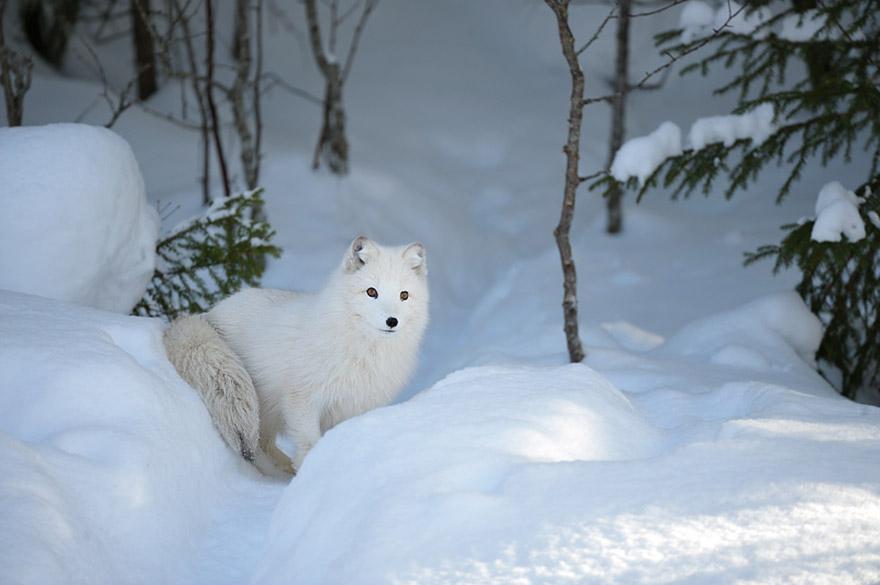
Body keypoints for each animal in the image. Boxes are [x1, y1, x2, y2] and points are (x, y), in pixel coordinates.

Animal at [165, 236, 430, 474]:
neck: (362, 350)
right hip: (260, 406)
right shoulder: (302, 399)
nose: (392, 321)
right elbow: (309, 442)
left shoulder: (355, 407)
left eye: (404, 295)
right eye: (371, 292)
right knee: (259, 447)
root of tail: (208, 315)